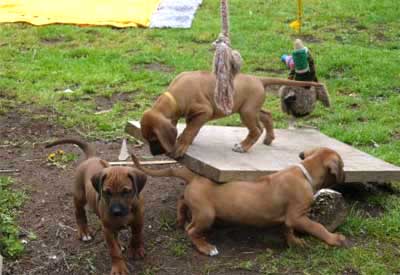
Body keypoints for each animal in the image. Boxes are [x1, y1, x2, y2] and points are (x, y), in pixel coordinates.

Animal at [46, 140, 147, 275]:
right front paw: (119, 268)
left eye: (126, 191)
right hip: (80, 196)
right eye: (106, 192)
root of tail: (91, 158)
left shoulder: (138, 221)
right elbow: (114, 250)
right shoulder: (107, 229)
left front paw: (135, 249)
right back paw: (84, 232)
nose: (116, 212)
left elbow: (136, 236)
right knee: (79, 213)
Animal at [131, 148, 346, 258]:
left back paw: (180, 218)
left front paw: (294, 242)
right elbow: (317, 227)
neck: (306, 172)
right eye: (343, 166)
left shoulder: (289, 217)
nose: (344, 176)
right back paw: (206, 247)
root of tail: (195, 176)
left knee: (182, 202)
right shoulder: (297, 215)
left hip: (195, 204)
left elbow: (287, 229)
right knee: (191, 231)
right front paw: (334, 239)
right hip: (206, 215)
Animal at [139, 71, 324, 158]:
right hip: (252, 108)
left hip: (247, 112)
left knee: (256, 130)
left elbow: (190, 130)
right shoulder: (192, 115)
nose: (154, 154)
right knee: (267, 115)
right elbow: (190, 128)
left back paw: (243, 146)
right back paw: (269, 138)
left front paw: (181, 146)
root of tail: (259, 79)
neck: (175, 96)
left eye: (154, 138)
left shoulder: (204, 111)